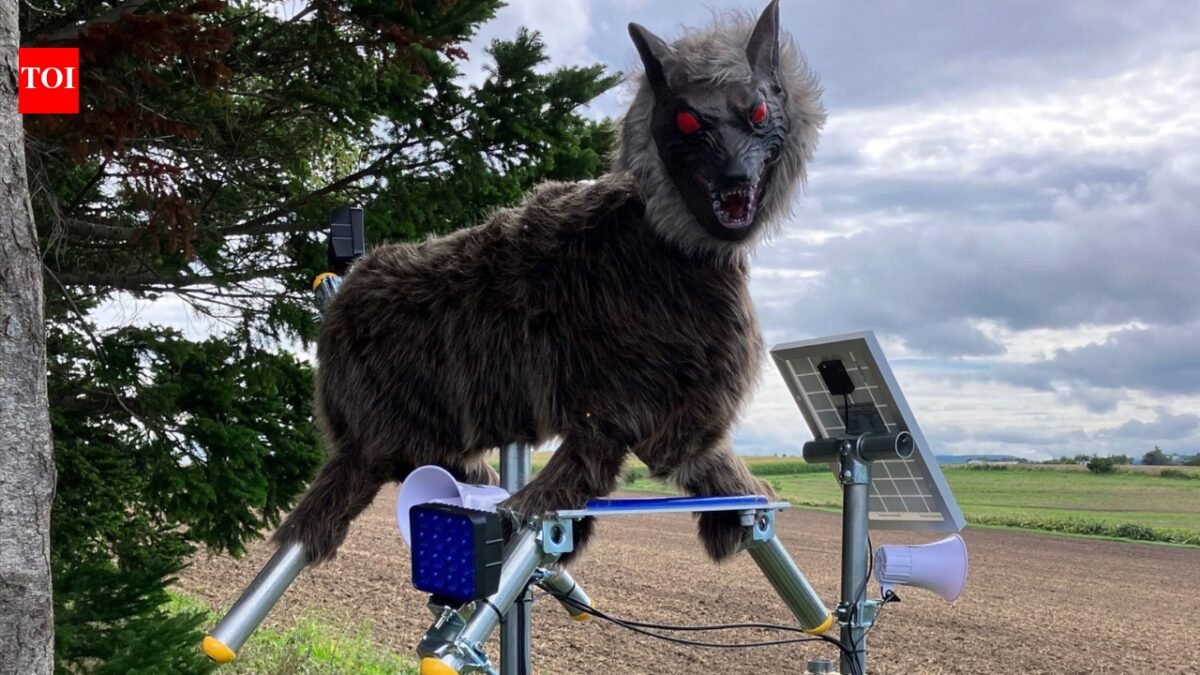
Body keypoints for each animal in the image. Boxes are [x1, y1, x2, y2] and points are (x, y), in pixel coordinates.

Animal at [272, 0, 825, 565]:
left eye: (758, 113)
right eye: (689, 119)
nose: (735, 177)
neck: (667, 244)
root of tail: (342, 300)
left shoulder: (670, 410)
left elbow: (705, 463)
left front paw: (737, 510)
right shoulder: (626, 403)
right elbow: (608, 458)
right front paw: (538, 513)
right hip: (383, 433)